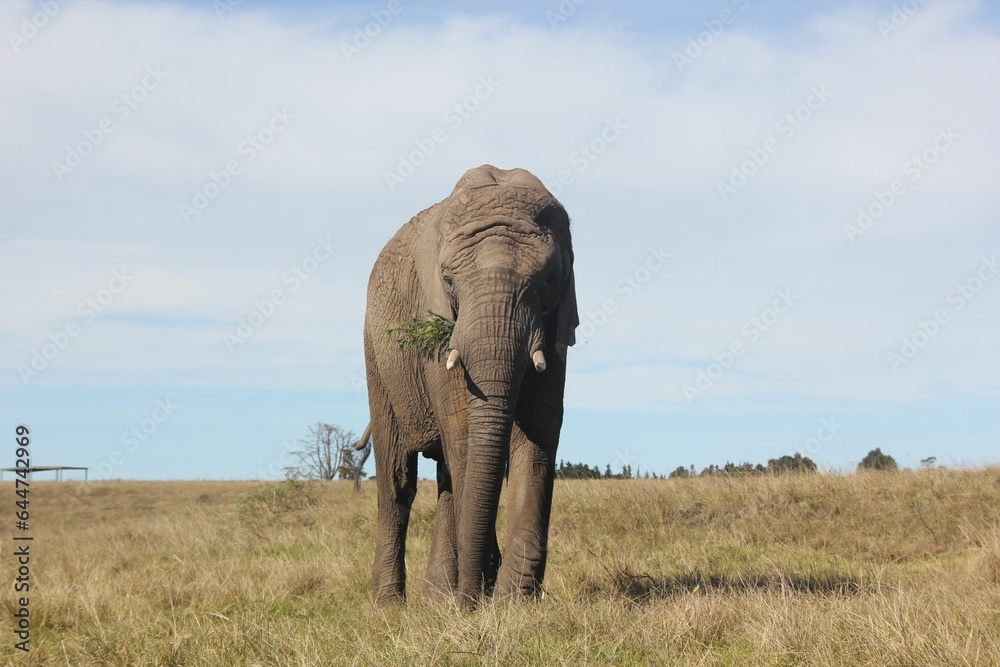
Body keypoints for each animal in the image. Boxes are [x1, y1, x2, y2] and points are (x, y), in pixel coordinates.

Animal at [360, 164, 578, 605]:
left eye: (550, 281)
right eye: (448, 281)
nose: (474, 598)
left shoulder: (557, 328)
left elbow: (538, 435)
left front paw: (513, 602)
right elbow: (463, 436)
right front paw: (484, 593)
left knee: (445, 475)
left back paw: (438, 598)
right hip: (377, 357)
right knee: (397, 481)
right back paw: (390, 606)